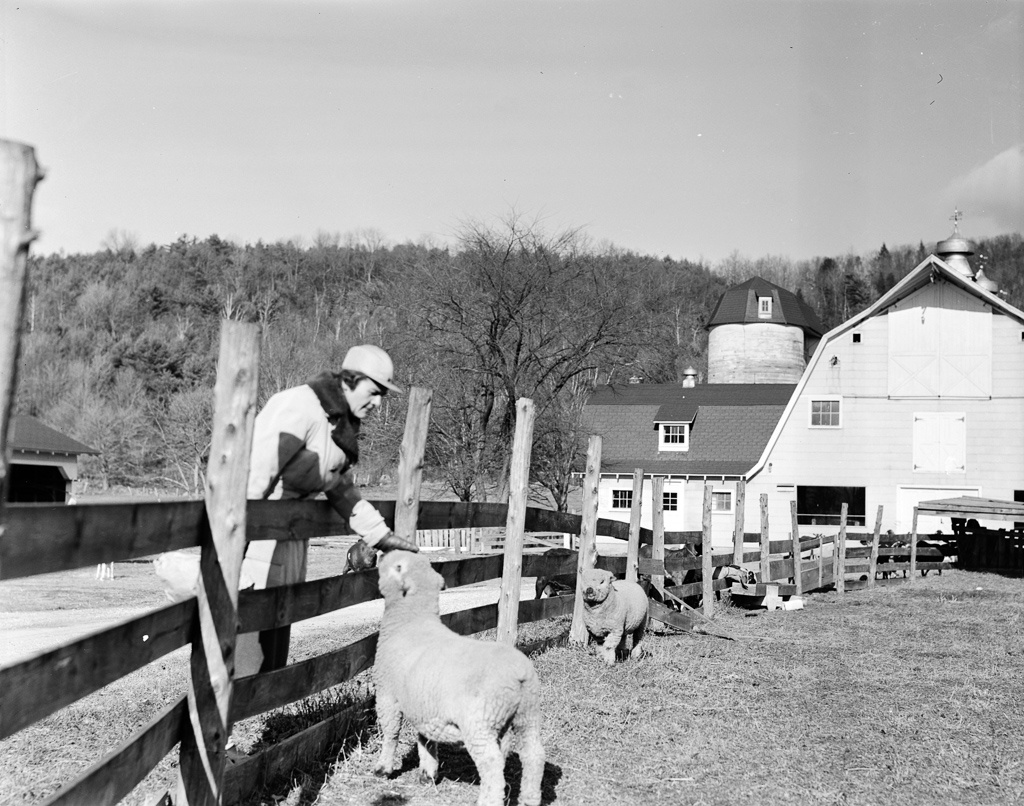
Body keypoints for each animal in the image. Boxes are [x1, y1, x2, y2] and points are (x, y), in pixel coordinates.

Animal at [373, 550, 545, 806]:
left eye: (398, 566)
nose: (381, 554)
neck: (412, 620)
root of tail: (519, 673)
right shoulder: (425, 706)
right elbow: (426, 739)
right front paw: (428, 773)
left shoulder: (387, 695)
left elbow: (390, 733)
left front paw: (383, 769)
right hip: (528, 714)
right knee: (533, 755)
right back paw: (529, 799)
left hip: (480, 722)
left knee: (492, 764)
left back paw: (488, 801)